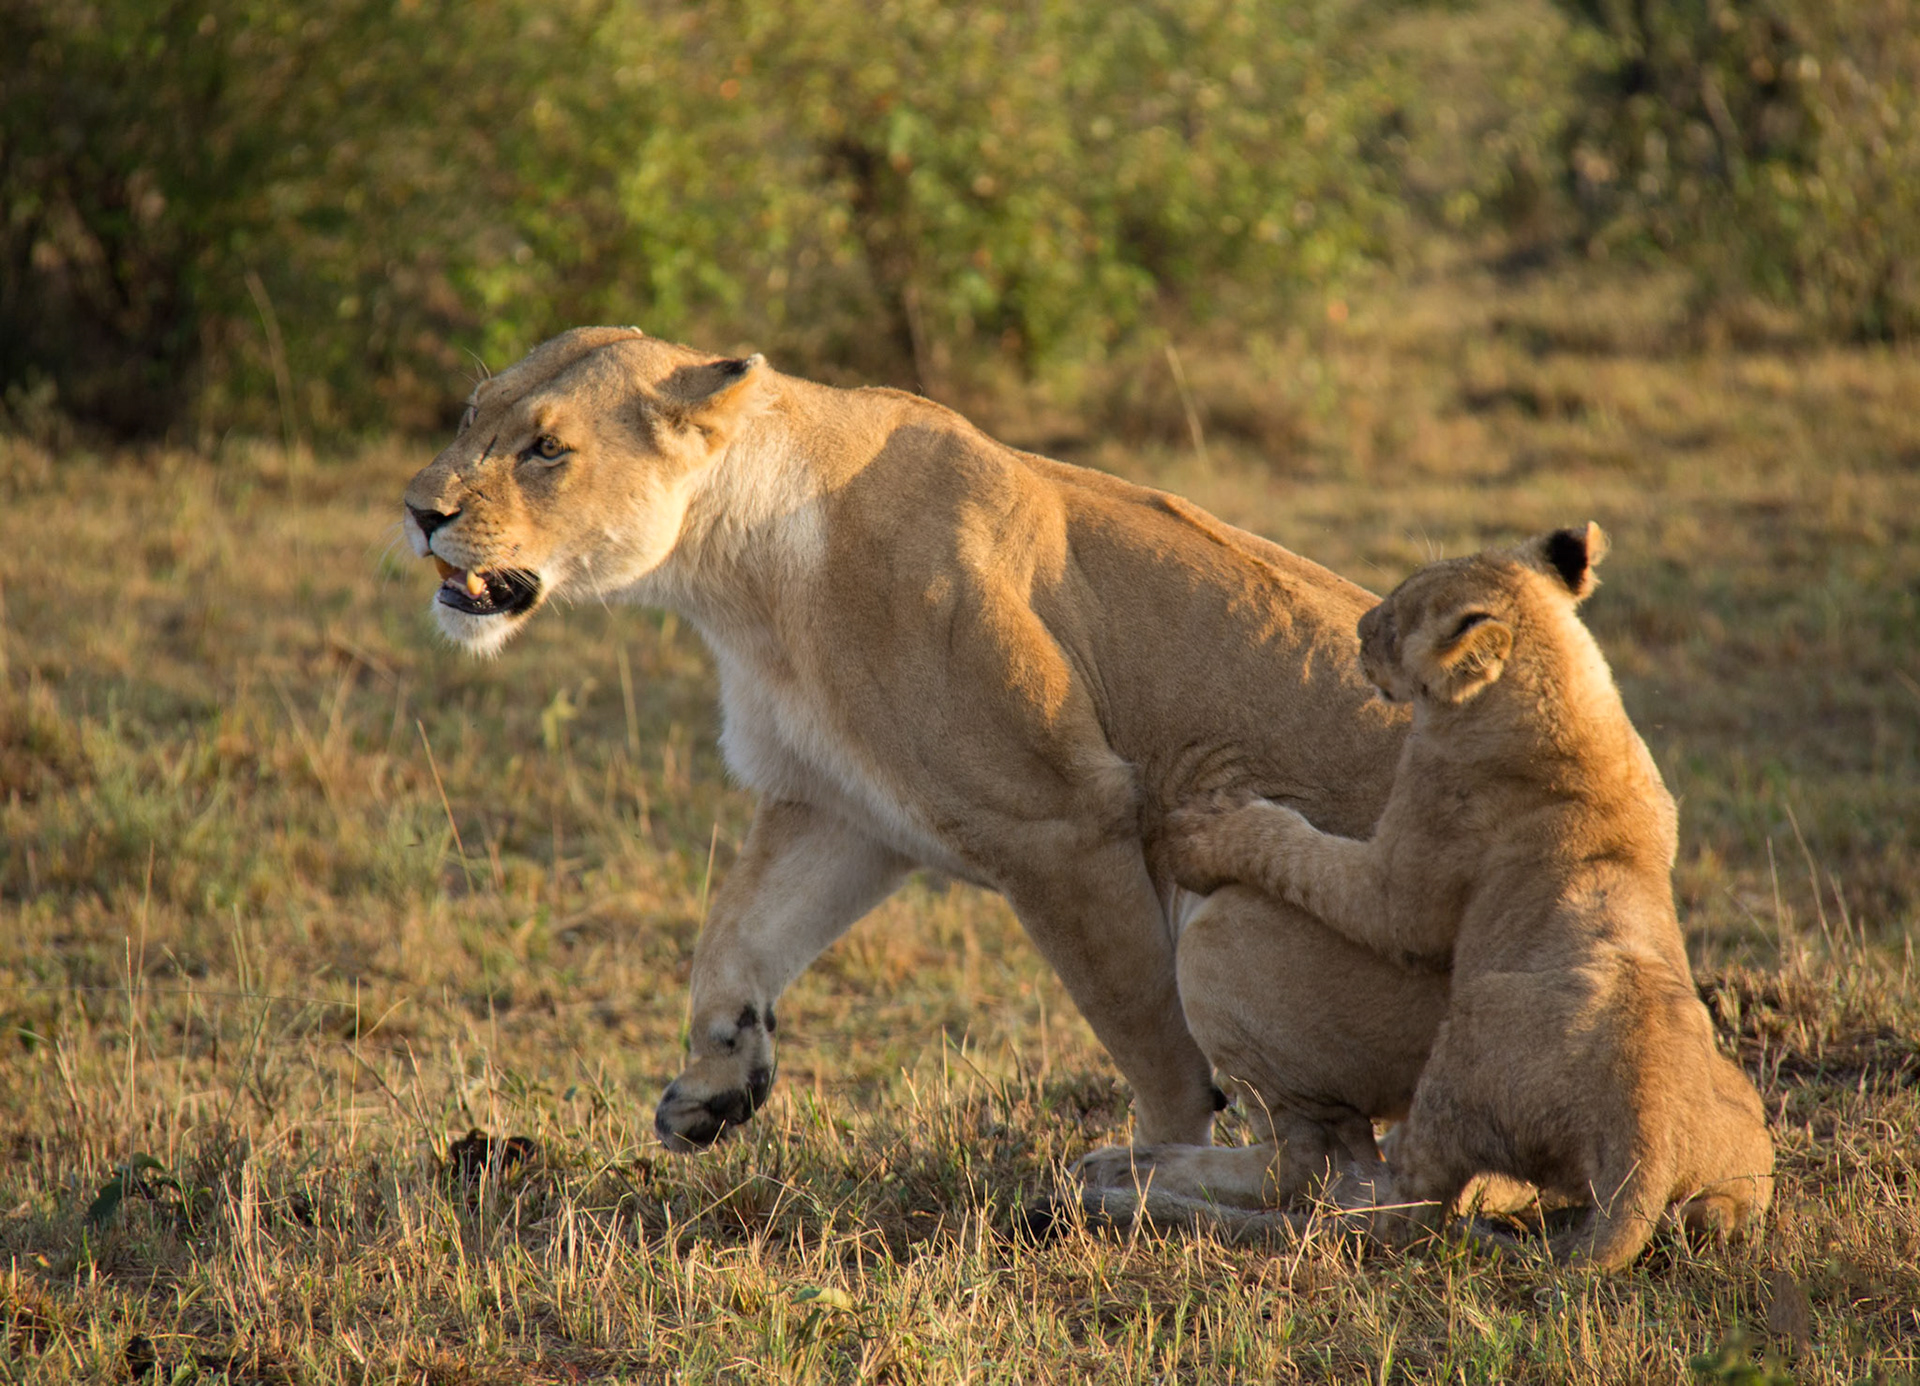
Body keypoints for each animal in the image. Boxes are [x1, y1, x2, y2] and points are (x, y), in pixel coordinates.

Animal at [401, 326, 1442, 1187]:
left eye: (547, 449)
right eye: (469, 415)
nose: (417, 511)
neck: (738, 581)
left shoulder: (1061, 821)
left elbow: (1147, 1033)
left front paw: (1161, 1145)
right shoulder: (839, 807)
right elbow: (736, 931)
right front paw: (715, 1084)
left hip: (1228, 921)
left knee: (1327, 1171)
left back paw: (1135, 1186)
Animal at [1163, 524, 1774, 1268]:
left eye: (1396, 621)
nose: (1360, 630)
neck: (1567, 701)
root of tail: (1643, 1147)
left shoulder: (1397, 893)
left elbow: (1293, 848)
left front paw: (1200, 831)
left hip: (1458, 1062)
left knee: (1404, 1207)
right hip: (1742, 1146)